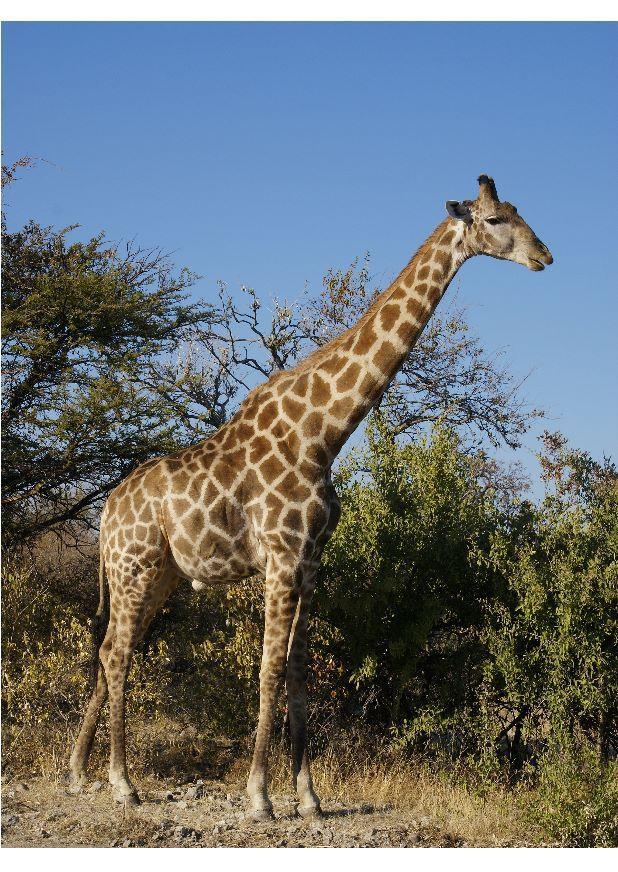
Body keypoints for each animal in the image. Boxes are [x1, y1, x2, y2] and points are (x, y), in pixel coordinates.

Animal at [69, 174, 552, 819]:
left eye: (519, 210)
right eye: (497, 219)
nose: (545, 256)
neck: (322, 433)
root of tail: (105, 514)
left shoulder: (311, 561)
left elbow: (298, 671)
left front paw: (308, 796)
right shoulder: (280, 557)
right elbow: (269, 670)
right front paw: (258, 796)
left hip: (159, 574)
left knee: (107, 652)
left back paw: (78, 773)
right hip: (135, 565)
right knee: (118, 654)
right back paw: (122, 783)